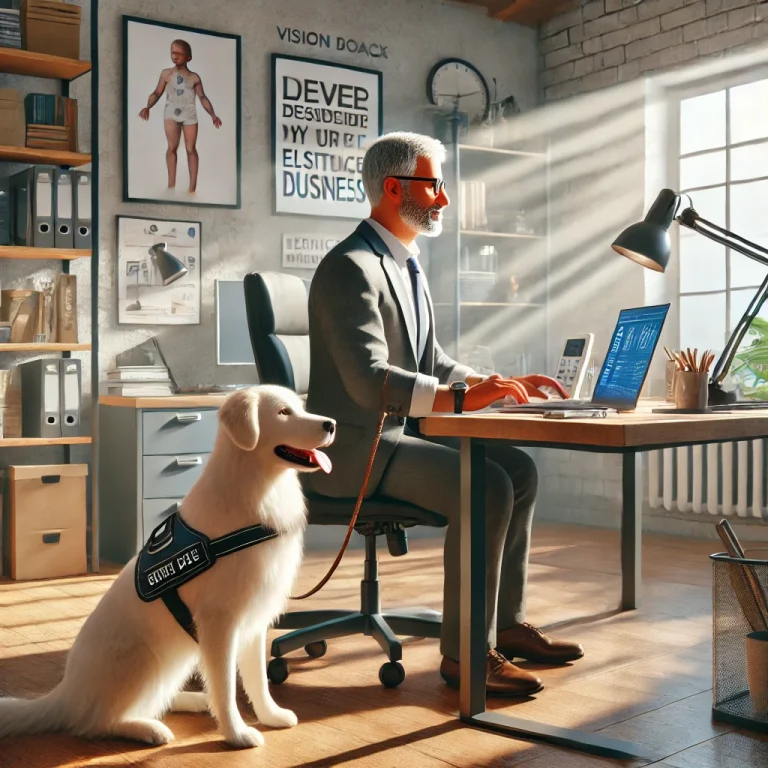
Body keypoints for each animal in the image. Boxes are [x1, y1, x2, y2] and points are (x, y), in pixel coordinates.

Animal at [0, 388, 336, 748]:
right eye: (284, 412)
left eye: (302, 407)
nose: (331, 424)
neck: (257, 488)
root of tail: (65, 695)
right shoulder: (220, 624)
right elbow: (226, 687)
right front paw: (236, 734)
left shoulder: (254, 620)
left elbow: (257, 680)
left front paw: (271, 716)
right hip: (144, 659)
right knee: (98, 722)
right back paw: (149, 729)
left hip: (179, 657)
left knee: (156, 700)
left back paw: (194, 701)